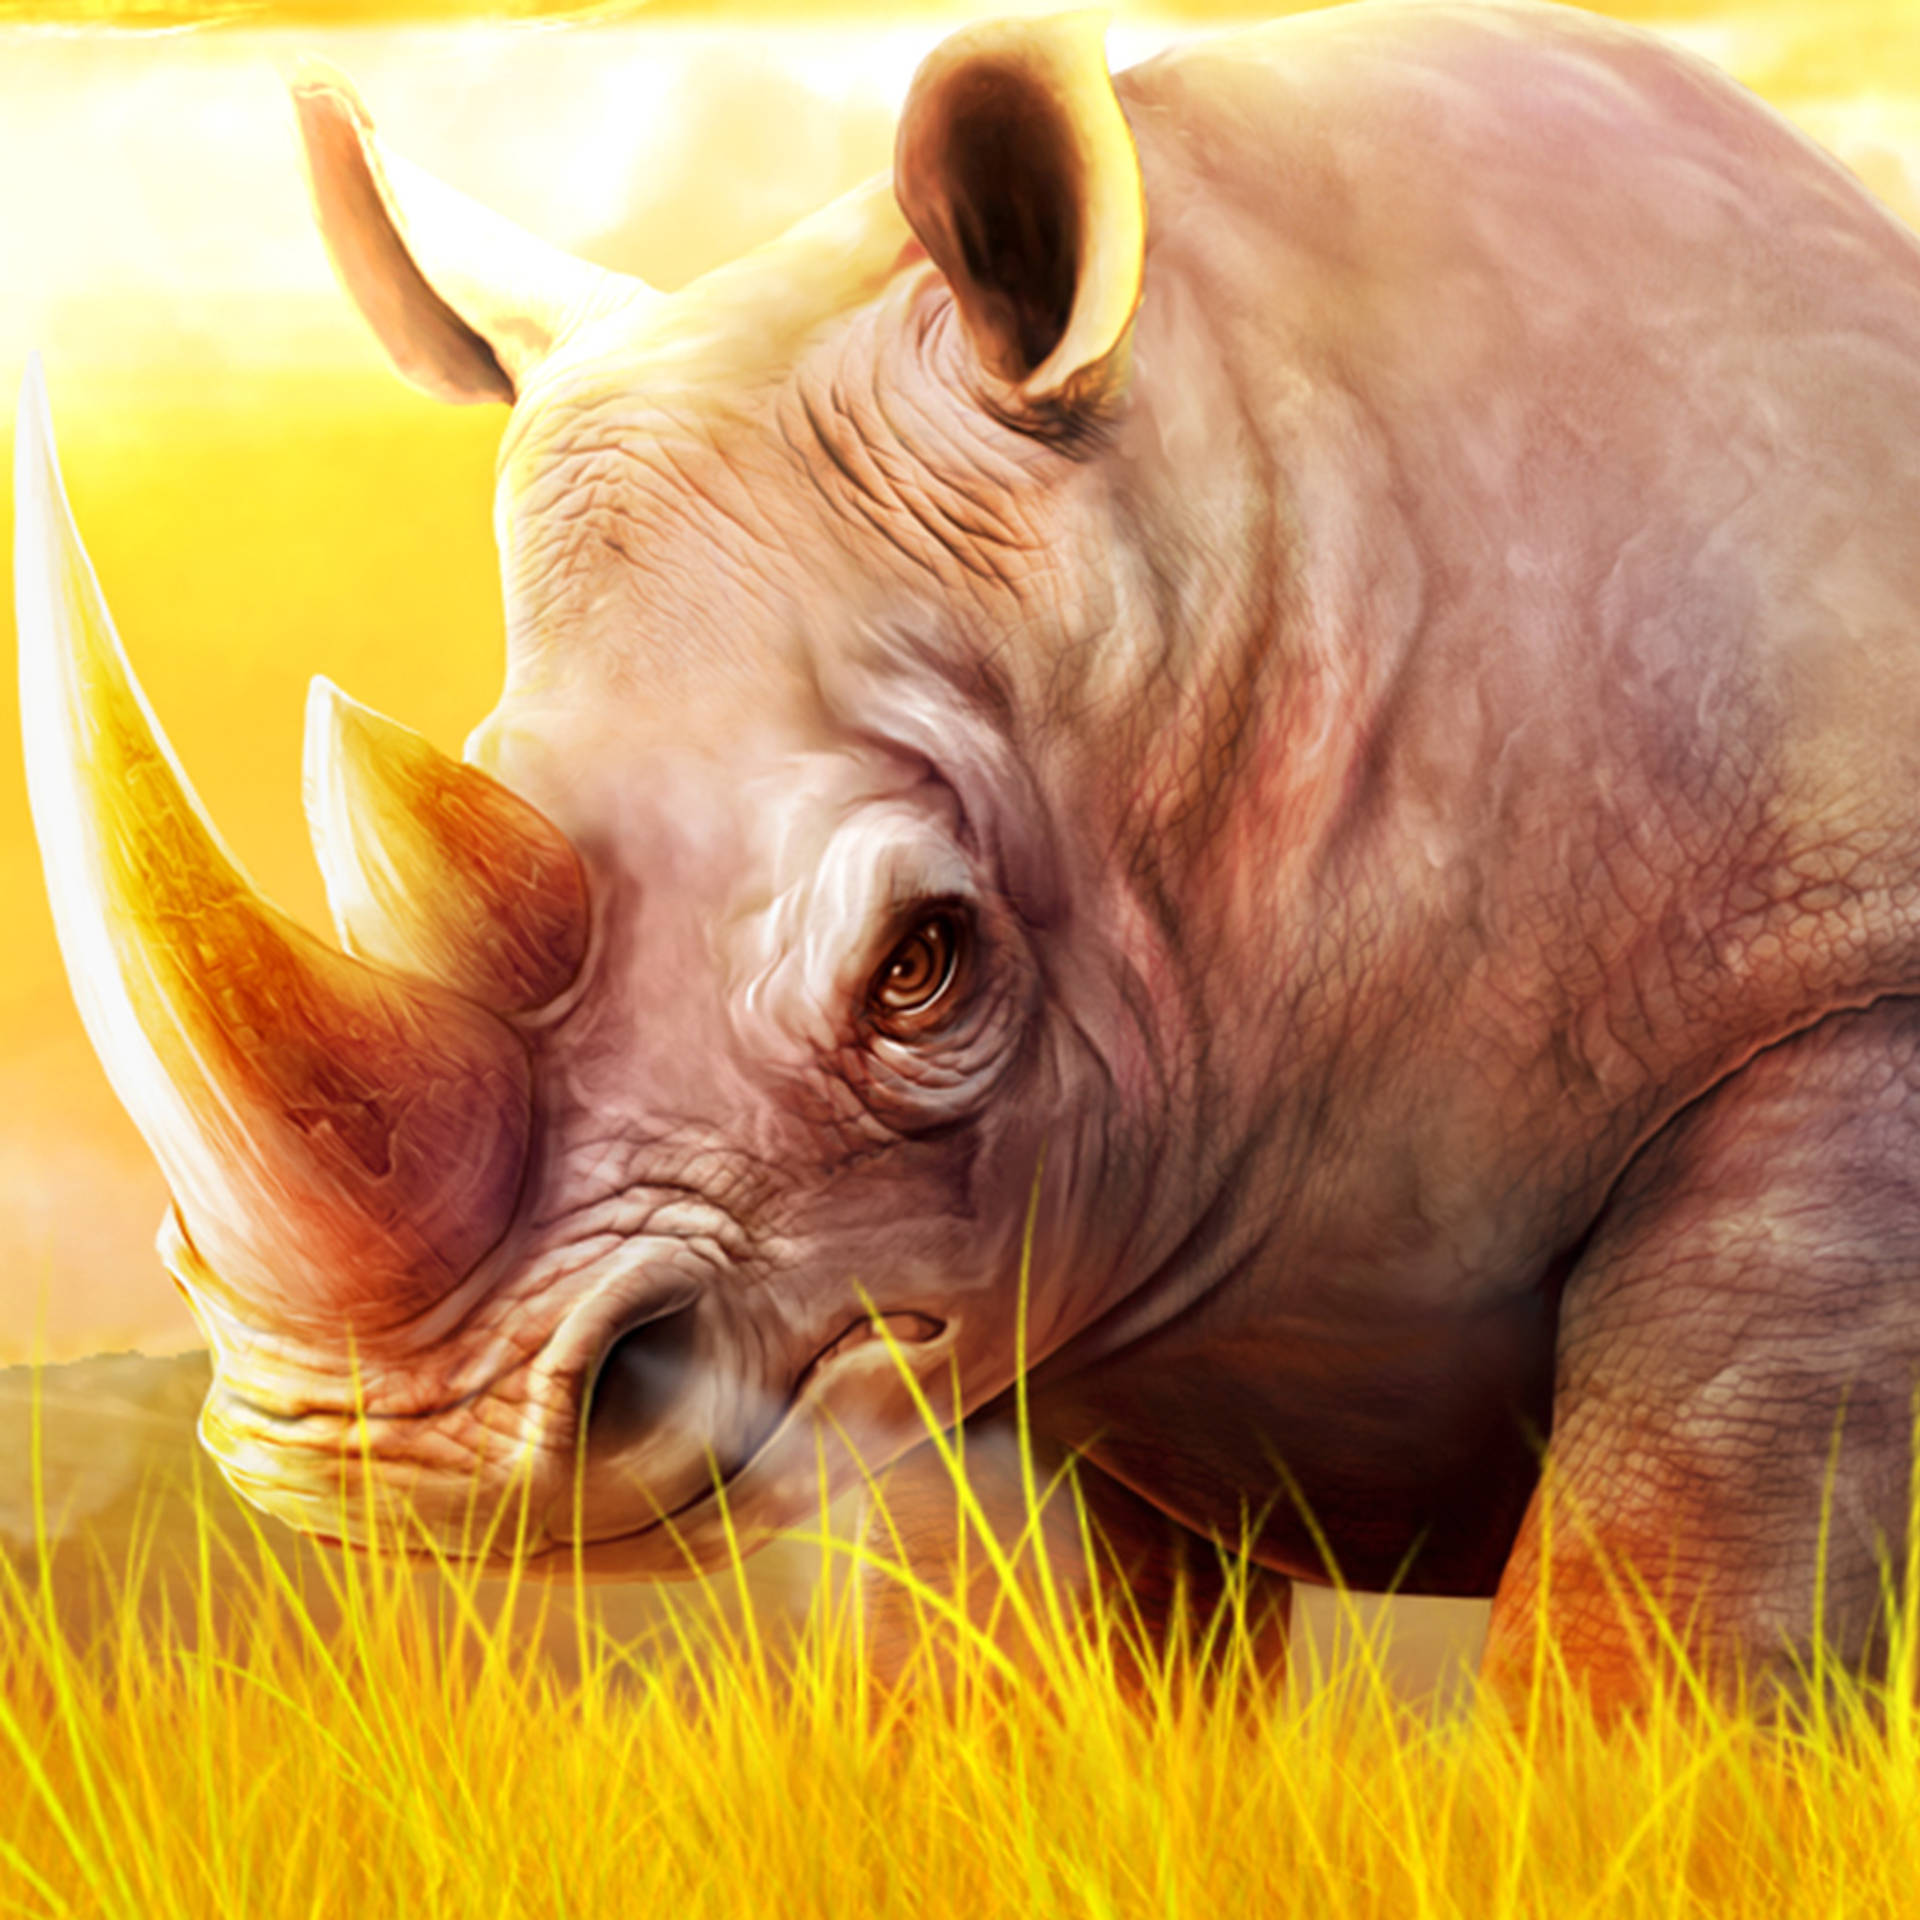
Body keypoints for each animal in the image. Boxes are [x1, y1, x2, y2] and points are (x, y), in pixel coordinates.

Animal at [19, 0, 1920, 1709]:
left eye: (919, 962)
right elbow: (1008, 1674)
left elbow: (1648, 1650)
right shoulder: (946, 1261)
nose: (395, 1448)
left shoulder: (1838, 1000)